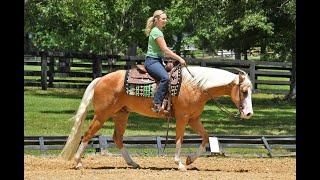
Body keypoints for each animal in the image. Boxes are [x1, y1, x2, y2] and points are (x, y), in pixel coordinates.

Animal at [61, 65, 254, 171]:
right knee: (87, 135)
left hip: (121, 114)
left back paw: (133, 163)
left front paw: (190, 159)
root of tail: (101, 79)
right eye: (244, 91)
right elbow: (179, 139)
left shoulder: (194, 119)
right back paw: (78, 163)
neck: (196, 86)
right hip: (102, 115)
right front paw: (179, 164)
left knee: (117, 138)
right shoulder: (183, 118)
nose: (248, 113)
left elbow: (206, 137)